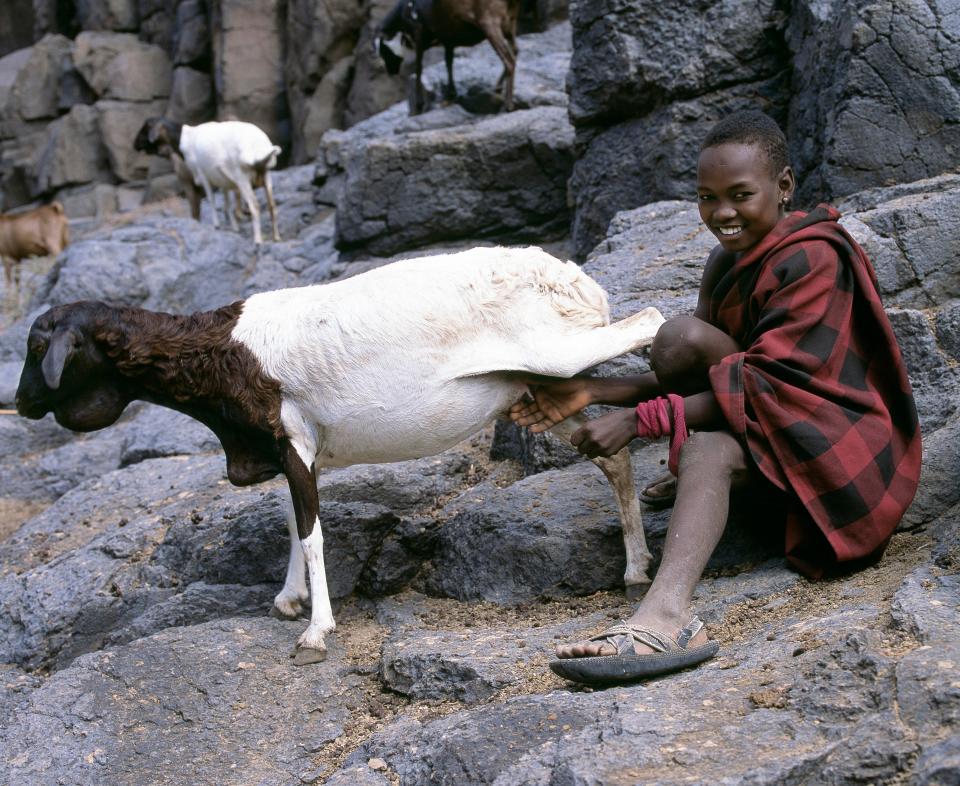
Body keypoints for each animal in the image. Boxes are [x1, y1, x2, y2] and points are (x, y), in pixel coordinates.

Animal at [15, 245, 664, 660]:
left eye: (40, 347)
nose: (20, 402)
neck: (223, 351)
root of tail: (579, 281)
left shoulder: (294, 440)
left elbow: (311, 532)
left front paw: (315, 632)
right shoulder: (294, 453)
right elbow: (293, 522)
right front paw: (289, 599)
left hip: (562, 348)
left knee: (651, 322)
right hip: (536, 388)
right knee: (611, 457)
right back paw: (635, 567)